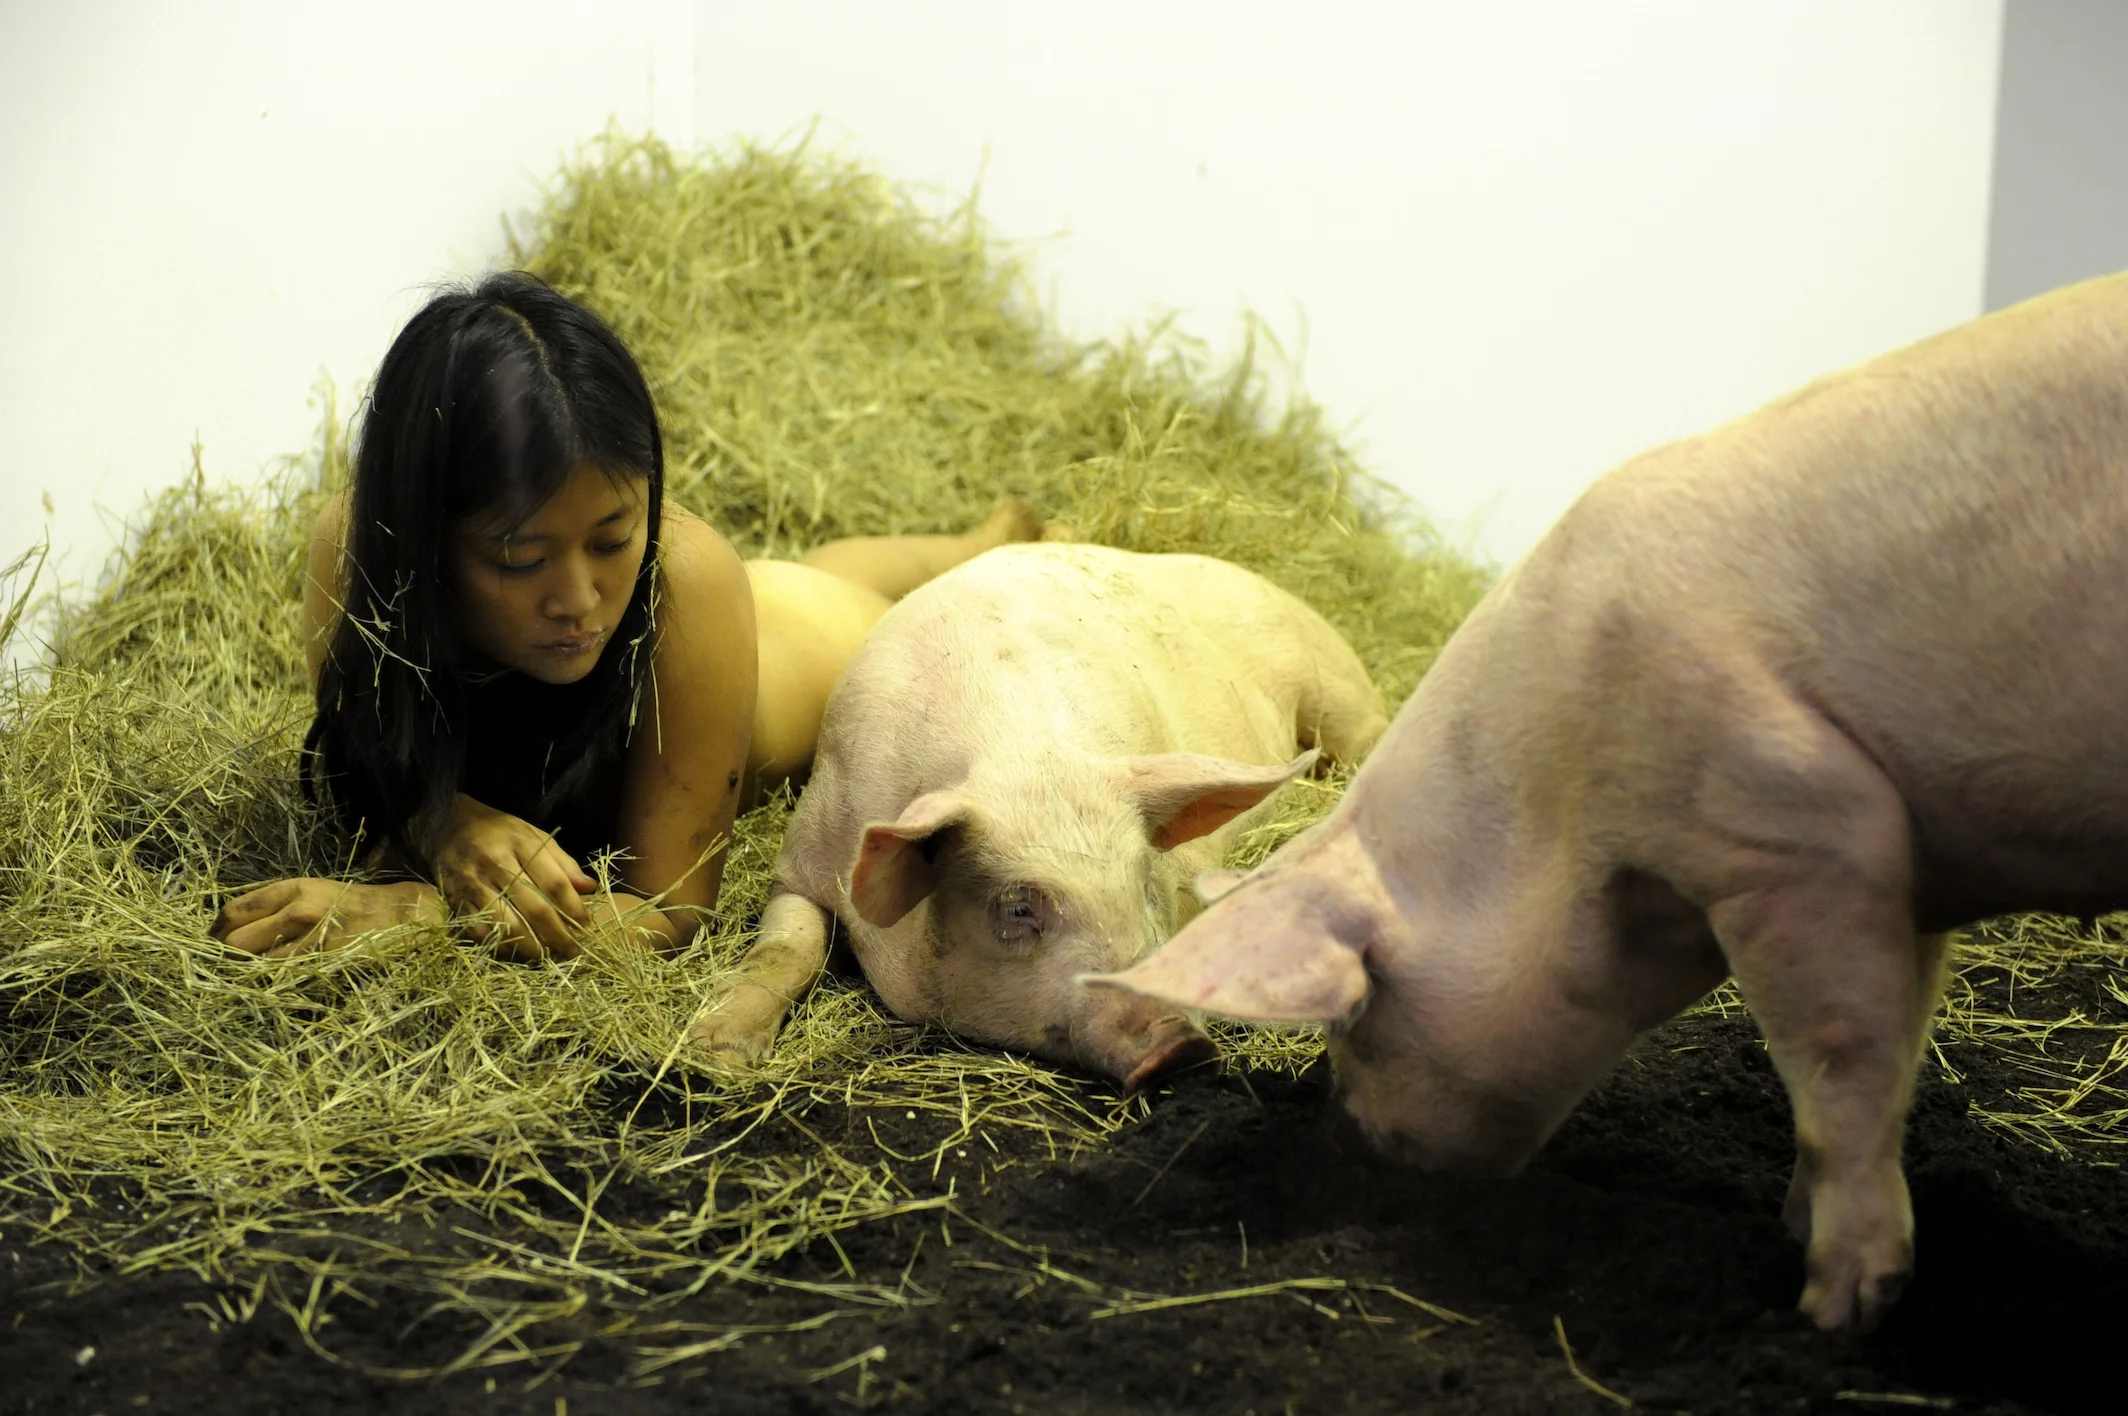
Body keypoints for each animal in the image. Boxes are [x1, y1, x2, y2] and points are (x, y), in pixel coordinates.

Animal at [685, 540, 1395, 1081]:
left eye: (1145, 886)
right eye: (1019, 909)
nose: (1180, 1046)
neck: (1021, 753)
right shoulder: (804, 855)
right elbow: (786, 948)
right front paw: (718, 1060)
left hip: (1339, 692)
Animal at [1089, 270, 2128, 1328]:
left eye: (1355, 1020)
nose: (1352, 1151)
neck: (1561, 811)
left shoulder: (1803, 830)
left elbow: (1840, 1060)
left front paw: (1834, 1308)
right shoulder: (1908, 874)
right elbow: (1898, 1047)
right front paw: (1797, 1234)